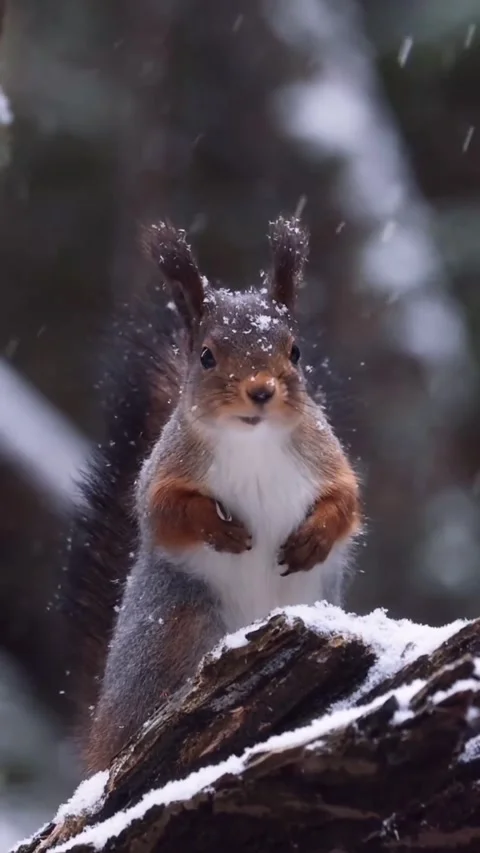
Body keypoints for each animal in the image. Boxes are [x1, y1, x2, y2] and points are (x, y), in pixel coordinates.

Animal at [62, 216, 361, 773]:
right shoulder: (163, 472)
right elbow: (163, 511)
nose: (261, 391)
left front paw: (314, 540)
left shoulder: (328, 460)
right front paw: (218, 528)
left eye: (295, 351)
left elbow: (347, 506)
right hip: (179, 625)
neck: (254, 440)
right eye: (206, 357)